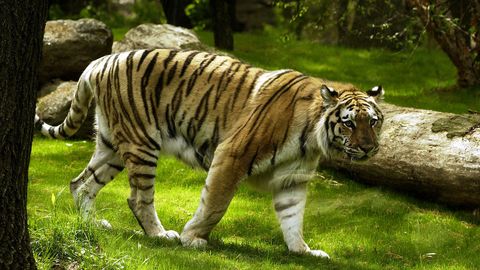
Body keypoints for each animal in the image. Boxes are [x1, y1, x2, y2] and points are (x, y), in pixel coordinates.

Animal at [33, 49, 384, 260]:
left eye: (373, 121)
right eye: (349, 123)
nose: (369, 147)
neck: (311, 138)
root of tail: (100, 61)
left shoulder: (293, 178)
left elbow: (292, 217)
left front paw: (302, 251)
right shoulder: (232, 154)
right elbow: (215, 203)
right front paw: (192, 238)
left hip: (112, 146)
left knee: (80, 183)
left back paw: (95, 224)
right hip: (141, 143)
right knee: (137, 198)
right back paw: (161, 234)